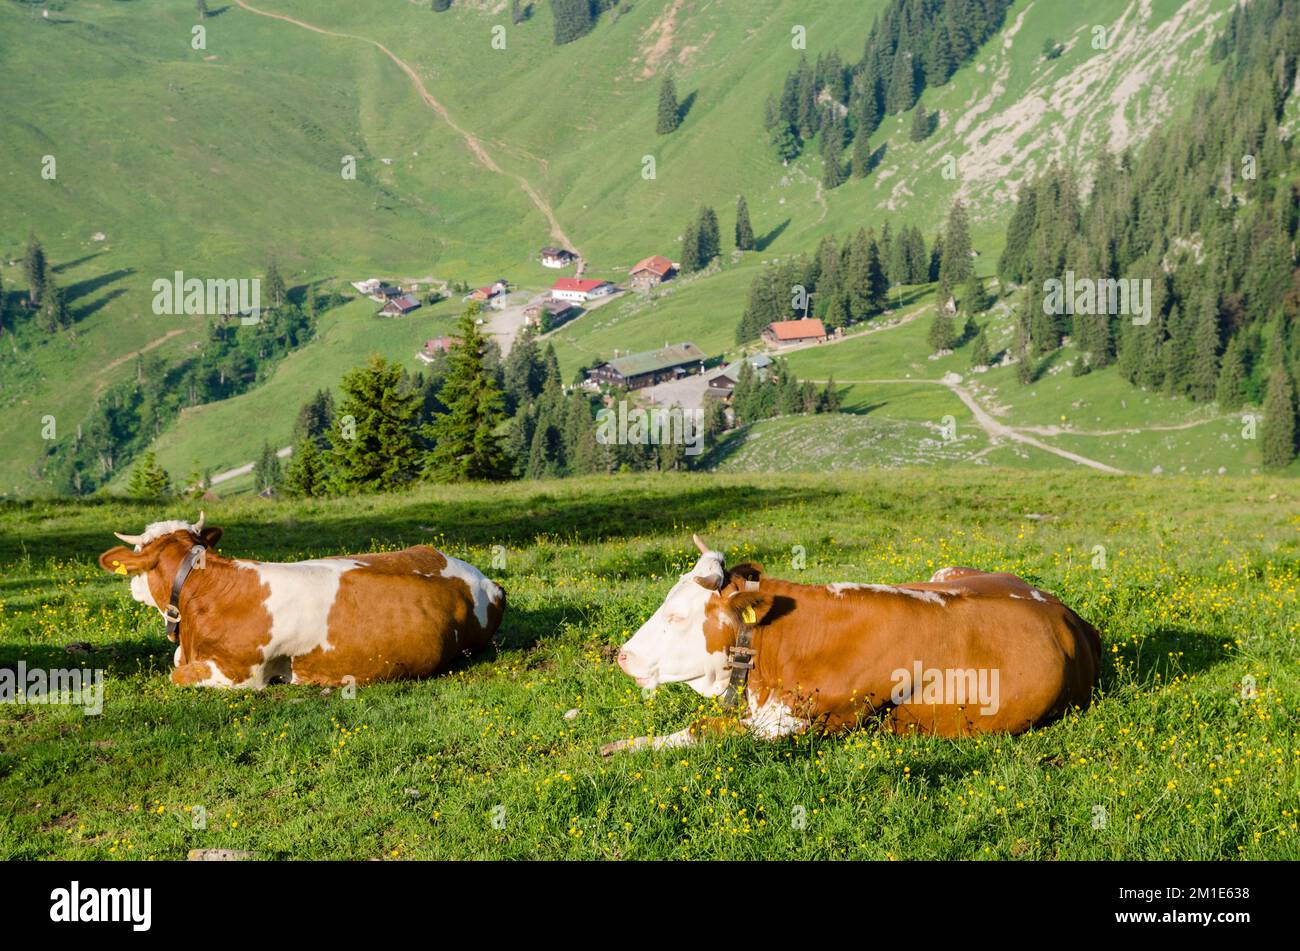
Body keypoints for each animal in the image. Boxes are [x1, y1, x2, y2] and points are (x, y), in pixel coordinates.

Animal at [601, 535, 1100, 755]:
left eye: (677, 616)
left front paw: (623, 747)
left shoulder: (804, 724)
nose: (624, 656)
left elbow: (704, 730)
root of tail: (1062, 610)